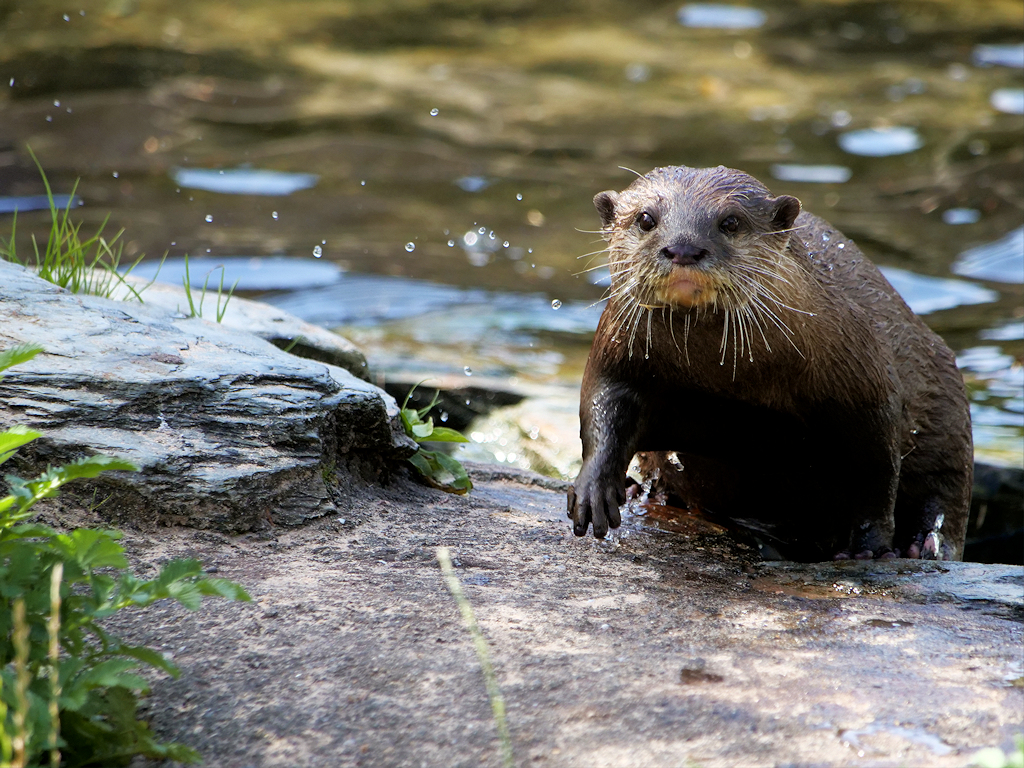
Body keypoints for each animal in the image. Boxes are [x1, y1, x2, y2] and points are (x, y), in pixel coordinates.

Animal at [573, 165, 970, 561]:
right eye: (645, 219)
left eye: (731, 221)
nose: (684, 248)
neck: (726, 382)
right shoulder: (616, 350)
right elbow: (603, 409)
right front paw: (594, 490)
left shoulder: (865, 382)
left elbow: (876, 471)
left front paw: (870, 547)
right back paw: (644, 491)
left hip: (944, 392)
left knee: (948, 484)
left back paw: (925, 543)